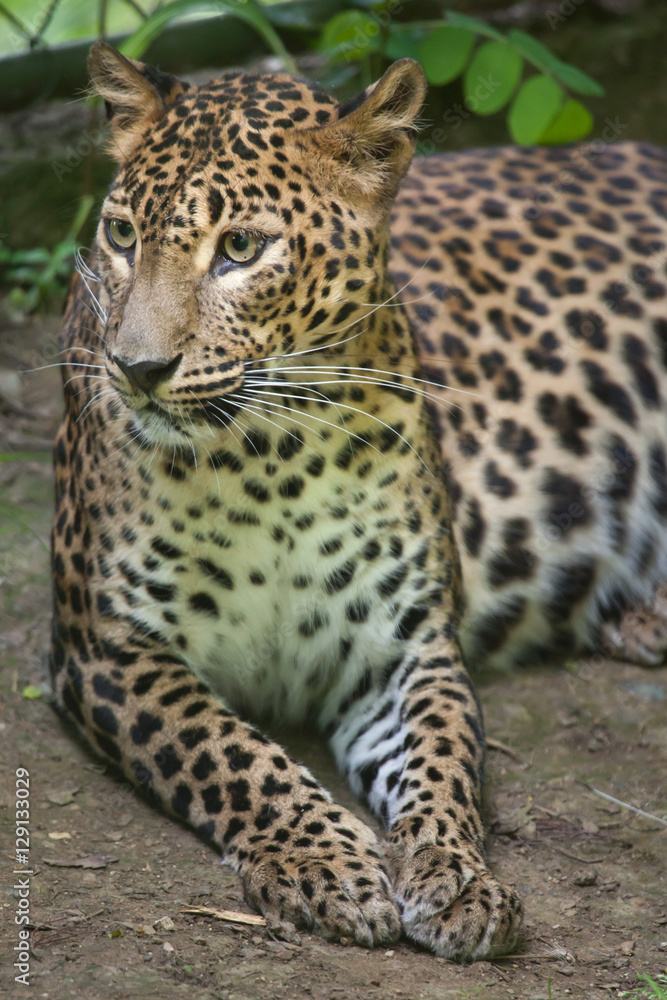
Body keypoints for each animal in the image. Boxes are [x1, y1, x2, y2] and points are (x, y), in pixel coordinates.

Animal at [50, 40, 667, 963]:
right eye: (121, 235)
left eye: (239, 247)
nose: (137, 369)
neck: (267, 459)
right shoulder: (106, 645)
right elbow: (228, 750)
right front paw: (324, 863)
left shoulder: (403, 648)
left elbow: (443, 763)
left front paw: (456, 878)